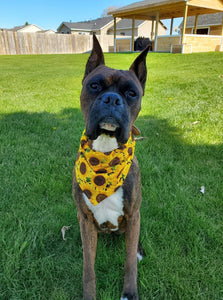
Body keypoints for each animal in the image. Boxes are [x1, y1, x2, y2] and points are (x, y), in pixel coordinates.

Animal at [73, 35, 149, 300]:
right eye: (95, 86)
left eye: (131, 93)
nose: (112, 99)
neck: (105, 153)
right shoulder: (85, 220)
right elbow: (88, 267)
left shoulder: (134, 214)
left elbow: (129, 262)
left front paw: (130, 292)